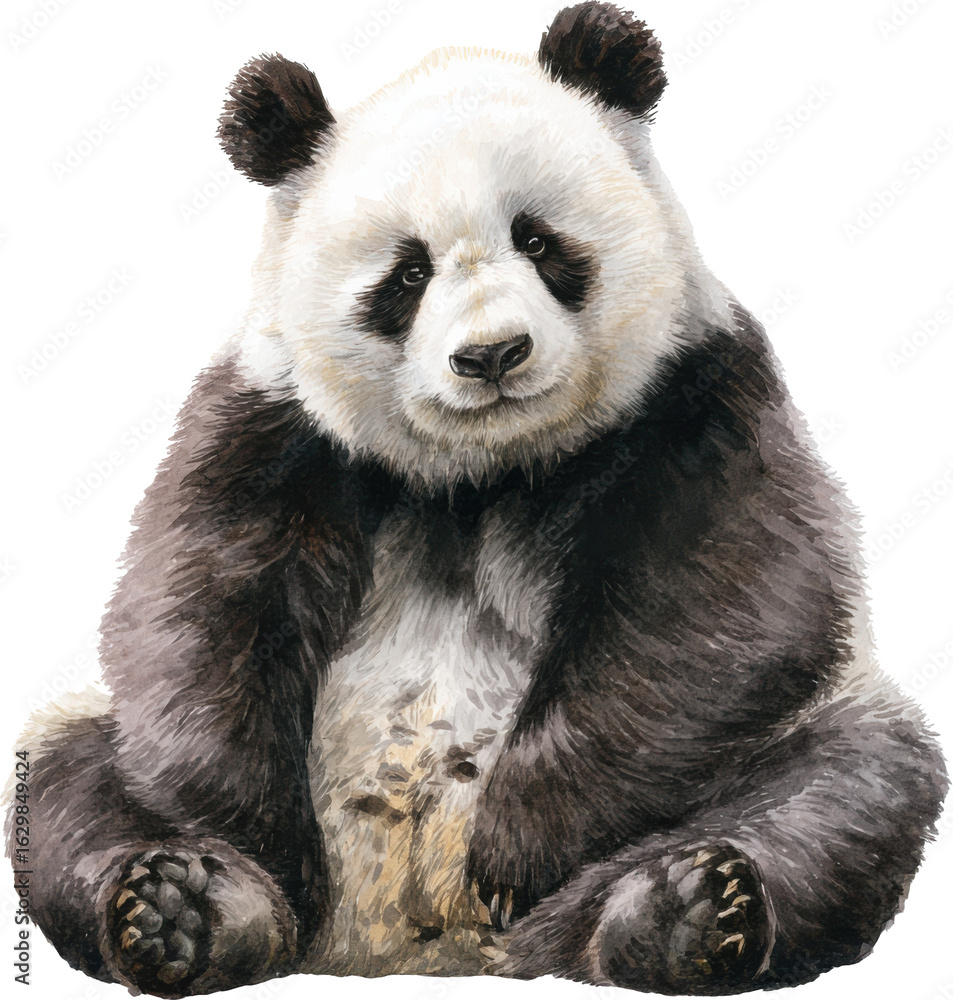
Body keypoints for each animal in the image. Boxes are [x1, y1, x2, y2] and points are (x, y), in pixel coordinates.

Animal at [9, 3, 947, 997]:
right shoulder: (273, 425)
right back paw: (195, 911)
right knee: (71, 788)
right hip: (87, 750)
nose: (492, 354)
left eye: (537, 240)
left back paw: (673, 916)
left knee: (845, 787)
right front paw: (266, 855)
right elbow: (196, 609)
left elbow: (715, 607)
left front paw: (515, 846)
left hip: (813, 737)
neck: (477, 470)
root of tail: (405, 947)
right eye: (406, 274)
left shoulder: (692, 397)